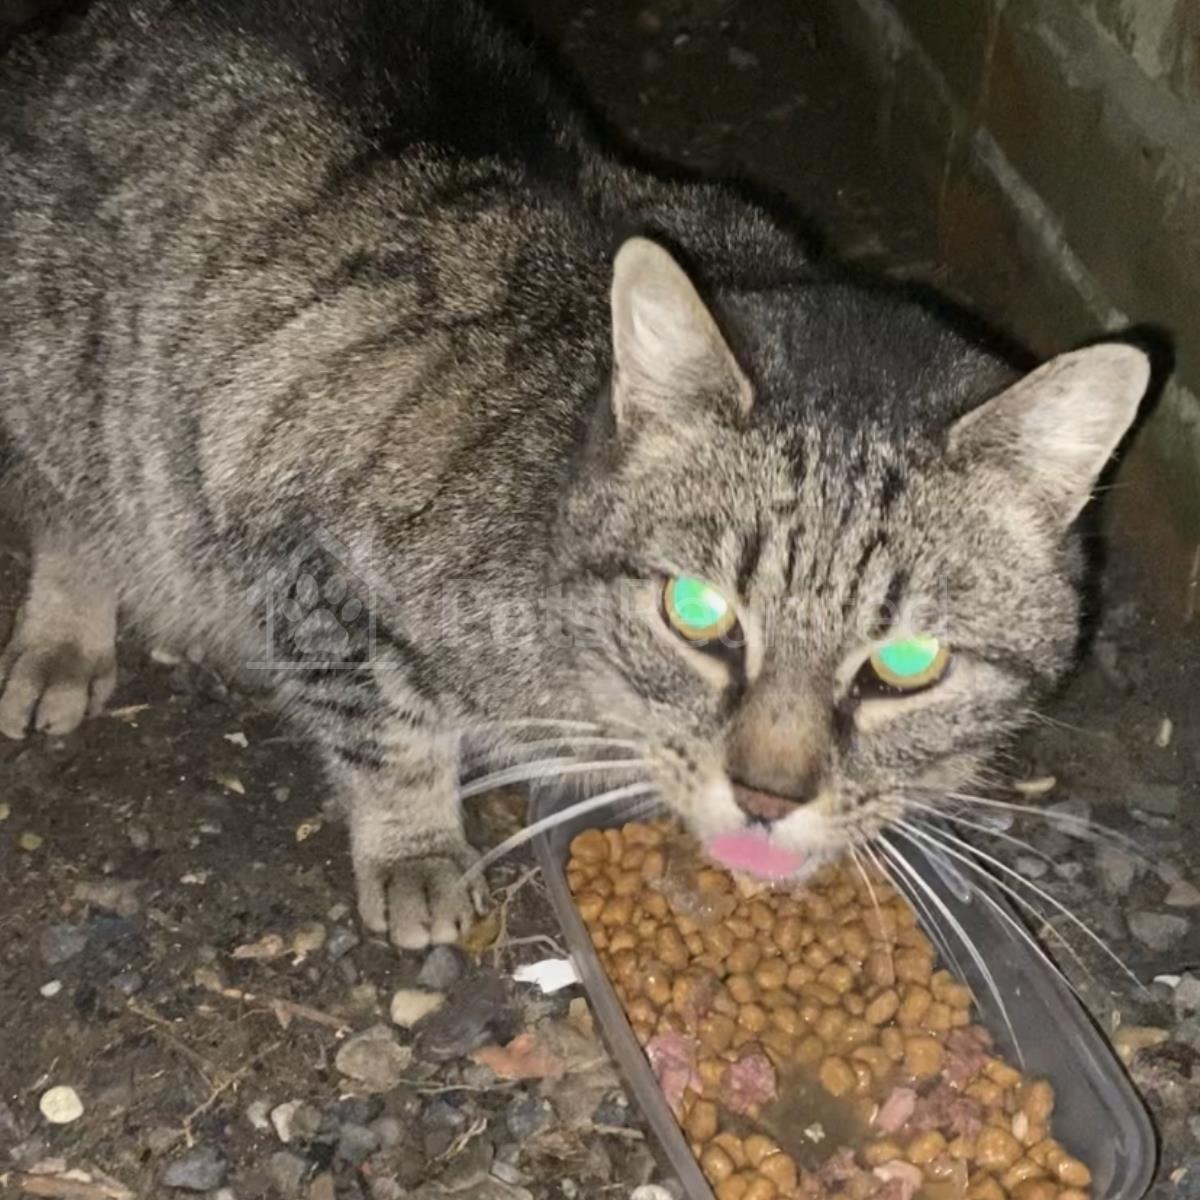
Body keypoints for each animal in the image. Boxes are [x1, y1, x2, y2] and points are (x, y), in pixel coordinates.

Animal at [0, 0, 1149, 949]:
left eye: (908, 664)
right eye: (698, 613)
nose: (767, 798)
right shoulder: (295, 534)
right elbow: (384, 725)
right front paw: (415, 845)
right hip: (65, 382)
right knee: (68, 508)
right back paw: (66, 633)